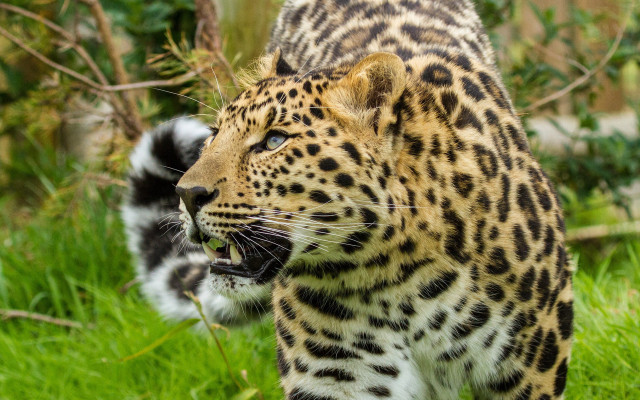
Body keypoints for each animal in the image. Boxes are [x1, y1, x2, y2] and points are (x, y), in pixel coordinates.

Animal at [122, 0, 574, 399]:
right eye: (215, 133)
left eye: (274, 140)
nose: (186, 194)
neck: (401, 276)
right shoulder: (339, 377)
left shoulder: (530, 370)